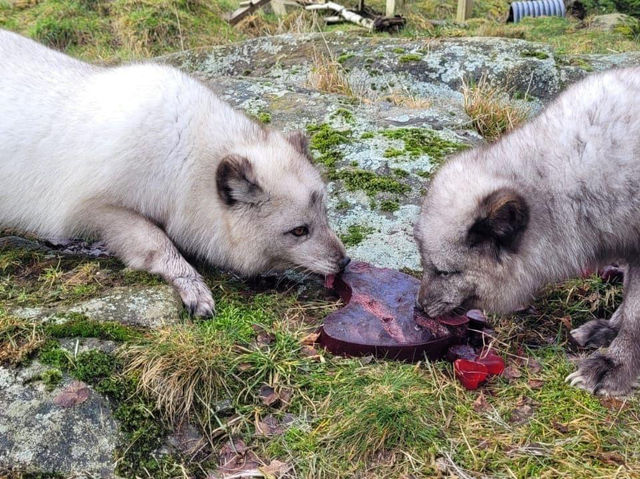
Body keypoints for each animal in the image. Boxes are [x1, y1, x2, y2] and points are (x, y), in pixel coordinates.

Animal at [0, 29, 350, 316]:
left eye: (324, 215)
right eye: (299, 231)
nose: (345, 262)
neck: (182, 156)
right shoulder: (100, 209)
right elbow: (160, 244)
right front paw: (192, 287)